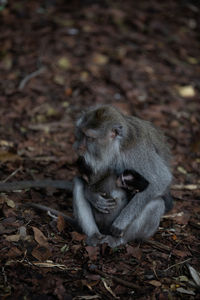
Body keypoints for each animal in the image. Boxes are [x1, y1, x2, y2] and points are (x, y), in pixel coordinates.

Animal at [72, 104, 173, 247]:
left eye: (90, 137)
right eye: (81, 133)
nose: (79, 147)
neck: (118, 147)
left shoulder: (138, 153)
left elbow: (161, 180)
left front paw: (121, 222)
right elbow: (94, 177)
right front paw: (92, 195)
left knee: (157, 203)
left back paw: (118, 240)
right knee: (78, 183)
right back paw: (94, 236)